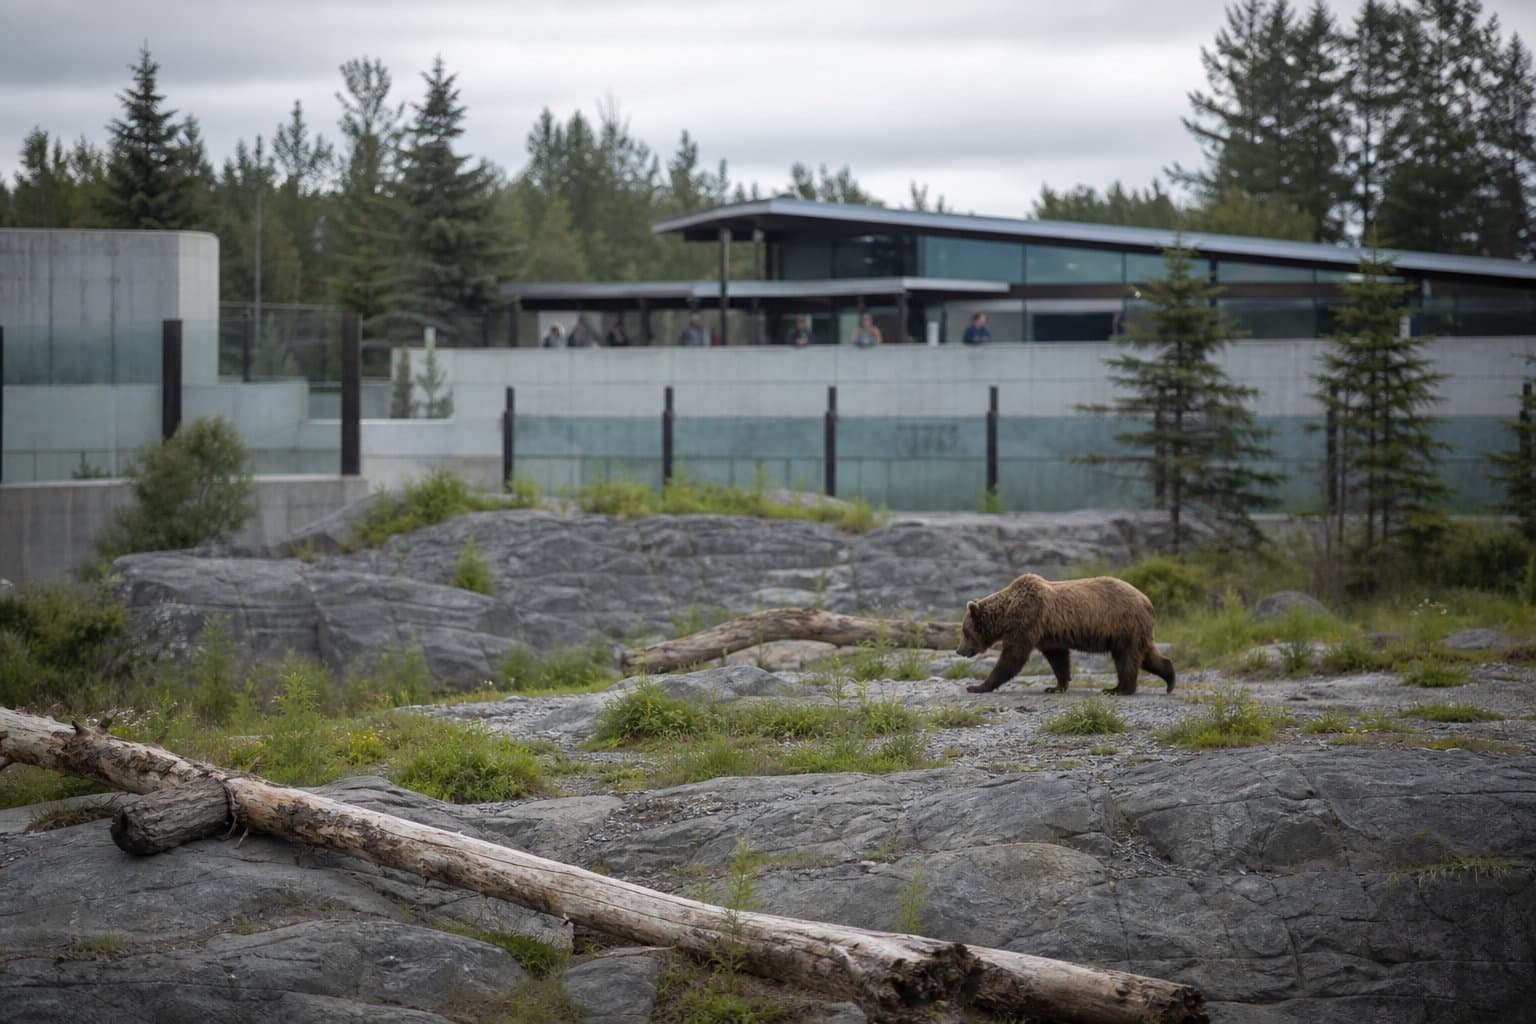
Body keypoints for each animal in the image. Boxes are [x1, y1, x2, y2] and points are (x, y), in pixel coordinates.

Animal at [956, 573, 1175, 696]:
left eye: (965, 631)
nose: (959, 650)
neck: (1007, 613)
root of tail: (1147, 601)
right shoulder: (1049, 633)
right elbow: (1058, 659)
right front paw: (1056, 686)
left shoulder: (1028, 620)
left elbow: (1012, 657)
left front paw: (977, 686)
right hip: (1133, 630)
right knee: (1145, 655)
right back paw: (1169, 679)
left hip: (1123, 624)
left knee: (1127, 657)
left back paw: (1119, 689)